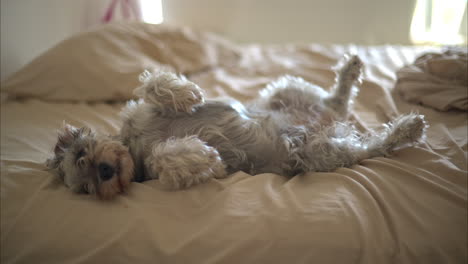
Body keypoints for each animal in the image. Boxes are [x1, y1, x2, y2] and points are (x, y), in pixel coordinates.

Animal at [45, 56, 426, 200]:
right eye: (87, 188)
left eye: (82, 154)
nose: (104, 172)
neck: (134, 148)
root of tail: (326, 124)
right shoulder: (159, 169)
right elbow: (171, 158)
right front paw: (204, 155)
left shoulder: (139, 113)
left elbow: (152, 84)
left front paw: (186, 94)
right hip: (319, 152)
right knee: (372, 145)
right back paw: (407, 128)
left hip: (285, 91)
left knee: (336, 101)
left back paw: (351, 70)